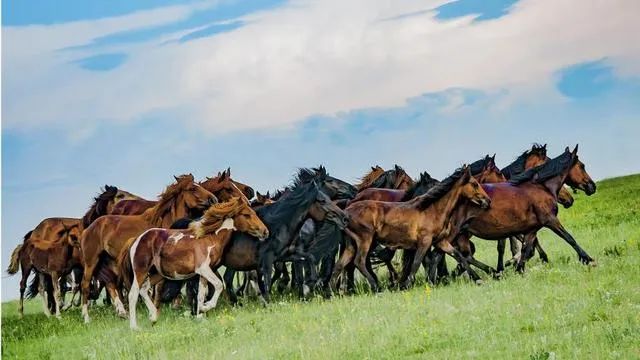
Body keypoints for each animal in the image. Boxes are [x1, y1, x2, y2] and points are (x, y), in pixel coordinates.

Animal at [79, 174, 215, 324]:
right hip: (91, 261)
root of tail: (89, 228)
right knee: (86, 285)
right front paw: (156, 312)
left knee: (111, 283)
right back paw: (86, 318)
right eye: (192, 188)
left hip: (109, 261)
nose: (213, 199)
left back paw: (122, 312)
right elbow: (158, 288)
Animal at [120, 197, 268, 330]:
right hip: (141, 271)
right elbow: (219, 285)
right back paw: (134, 327)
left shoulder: (204, 274)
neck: (210, 238)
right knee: (133, 294)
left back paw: (153, 317)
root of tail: (136, 240)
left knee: (144, 289)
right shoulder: (203, 269)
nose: (265, 231)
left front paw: (200, 314)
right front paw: (205, 307)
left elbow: (201, 295)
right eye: (247, 214)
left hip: (158, 273)